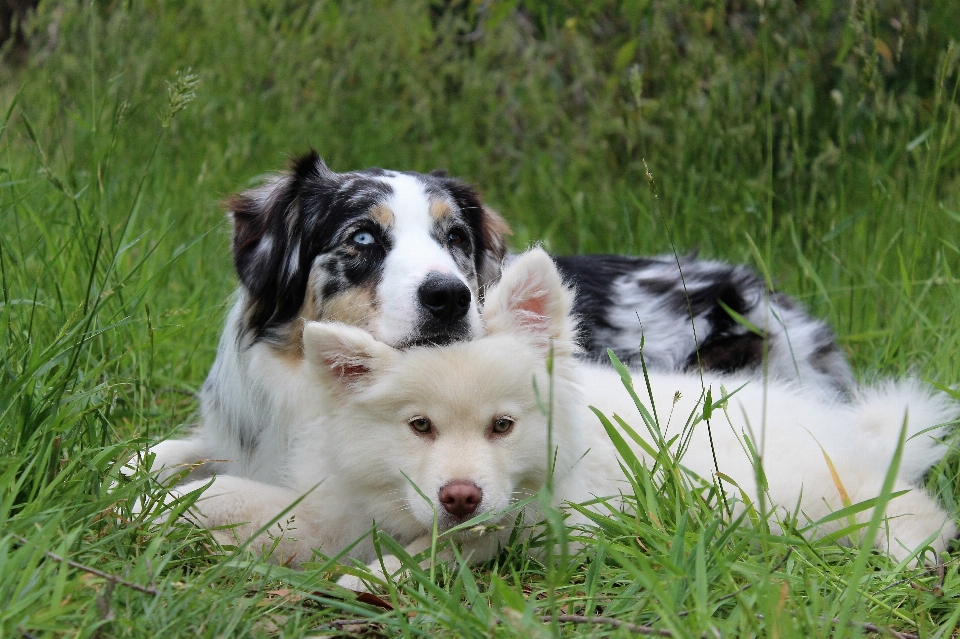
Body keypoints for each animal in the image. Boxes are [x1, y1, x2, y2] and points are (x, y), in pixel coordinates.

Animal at [169, 250, 956, 592]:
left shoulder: (544, 518)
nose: (461, 495)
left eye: (503, 426)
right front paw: (162, 504)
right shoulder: (336, 500)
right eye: (419, 427)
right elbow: (240, 499)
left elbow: (455, 546)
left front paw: (379, 576)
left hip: (792, 492)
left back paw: (909, 554)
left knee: (911, 506)